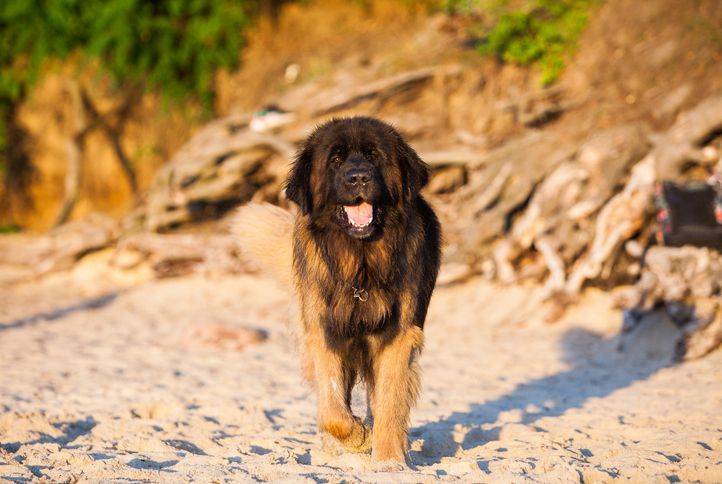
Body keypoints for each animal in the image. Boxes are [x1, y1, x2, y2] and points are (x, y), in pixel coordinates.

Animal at [233, 117, 442, 468]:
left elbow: (389, 402)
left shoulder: (397, 335)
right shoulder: (325, 331)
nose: (358, 177)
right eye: (336, 160)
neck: (360, 265)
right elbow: (332, 409)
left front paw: (389, 459)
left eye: (374, 156)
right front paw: (357, 438)